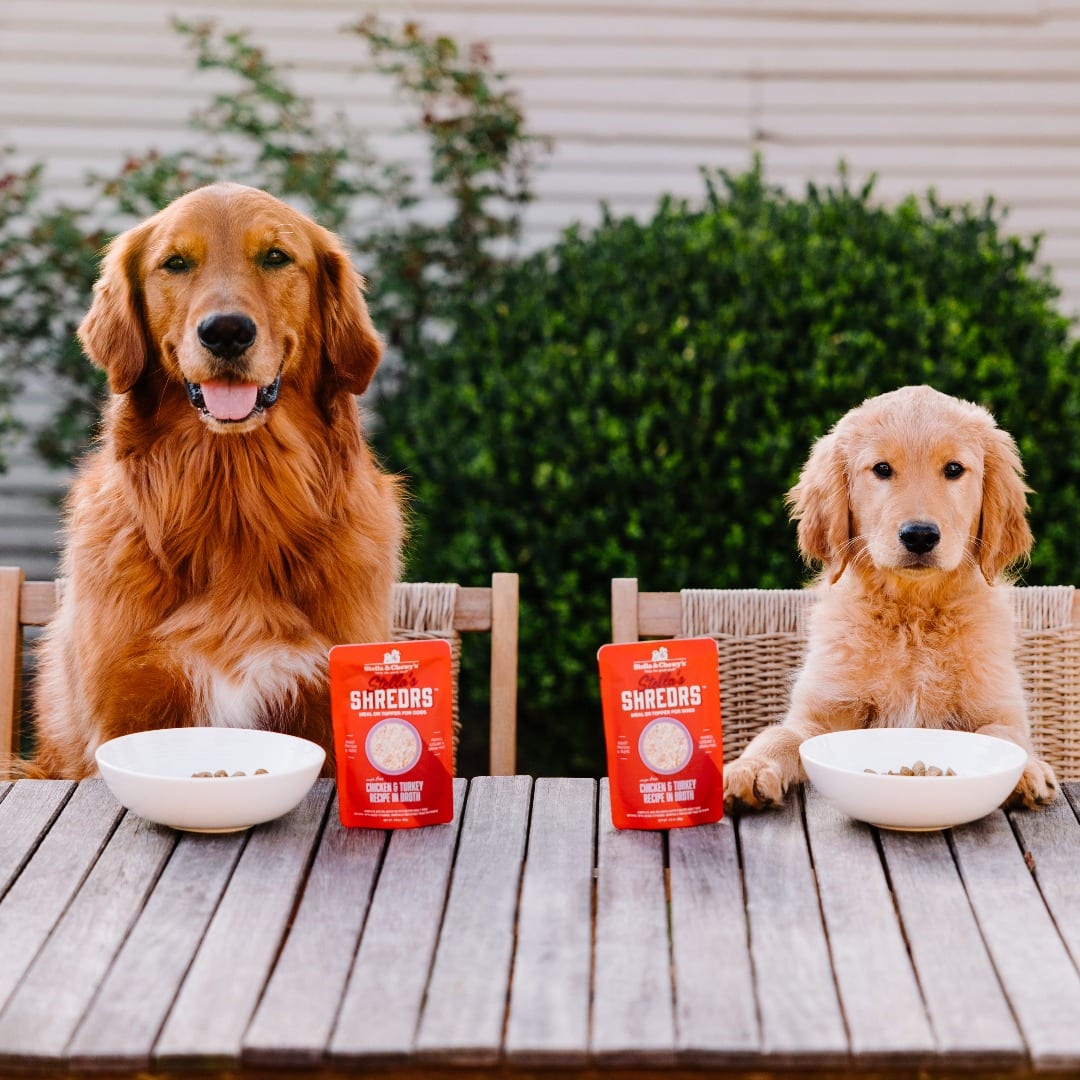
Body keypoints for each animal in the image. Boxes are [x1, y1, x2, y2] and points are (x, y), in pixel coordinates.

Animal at [721, 384, 1058, 807]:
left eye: (953, 469)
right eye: (882, 469)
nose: (920, 535)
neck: (912, 615)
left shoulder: (997, 708)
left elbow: (1004, 738)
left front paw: (1026, 771)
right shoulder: (820, 715)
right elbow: (780, 734)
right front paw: (750, 768)